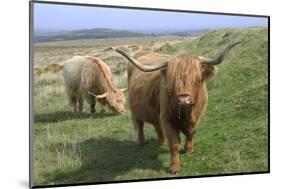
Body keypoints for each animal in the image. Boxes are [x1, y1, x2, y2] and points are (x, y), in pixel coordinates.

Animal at [112, 42, 240, 173]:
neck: (187, 113)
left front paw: (189, 150)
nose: (183, 99)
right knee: (140, 125)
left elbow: (191, 133)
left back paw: (162, 142)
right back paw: (142, 142)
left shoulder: (197, 116)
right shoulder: (167, 119)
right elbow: (174, 143)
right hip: (135, 109)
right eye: (172, 81)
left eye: (196, 79)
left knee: (157, 125)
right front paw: (174, 167)